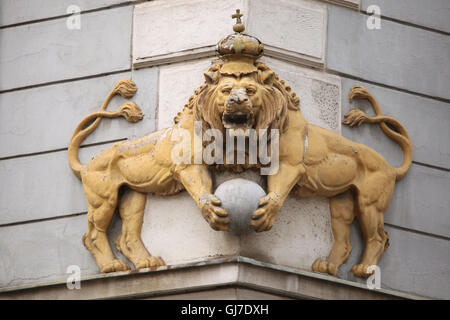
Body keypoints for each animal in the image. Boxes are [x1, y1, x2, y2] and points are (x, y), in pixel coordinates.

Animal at [67, 11, 412, 278]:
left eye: (249, 89)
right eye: (225, 90)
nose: (237, 101)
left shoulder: (287, 162)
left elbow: (278, 187)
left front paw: (266, 213)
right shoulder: (190, 165)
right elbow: (201, 187)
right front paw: (213, 213)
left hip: (360, 200)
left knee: (374, 237)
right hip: (106, 197)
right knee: (94, 234)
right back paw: (113, 266)